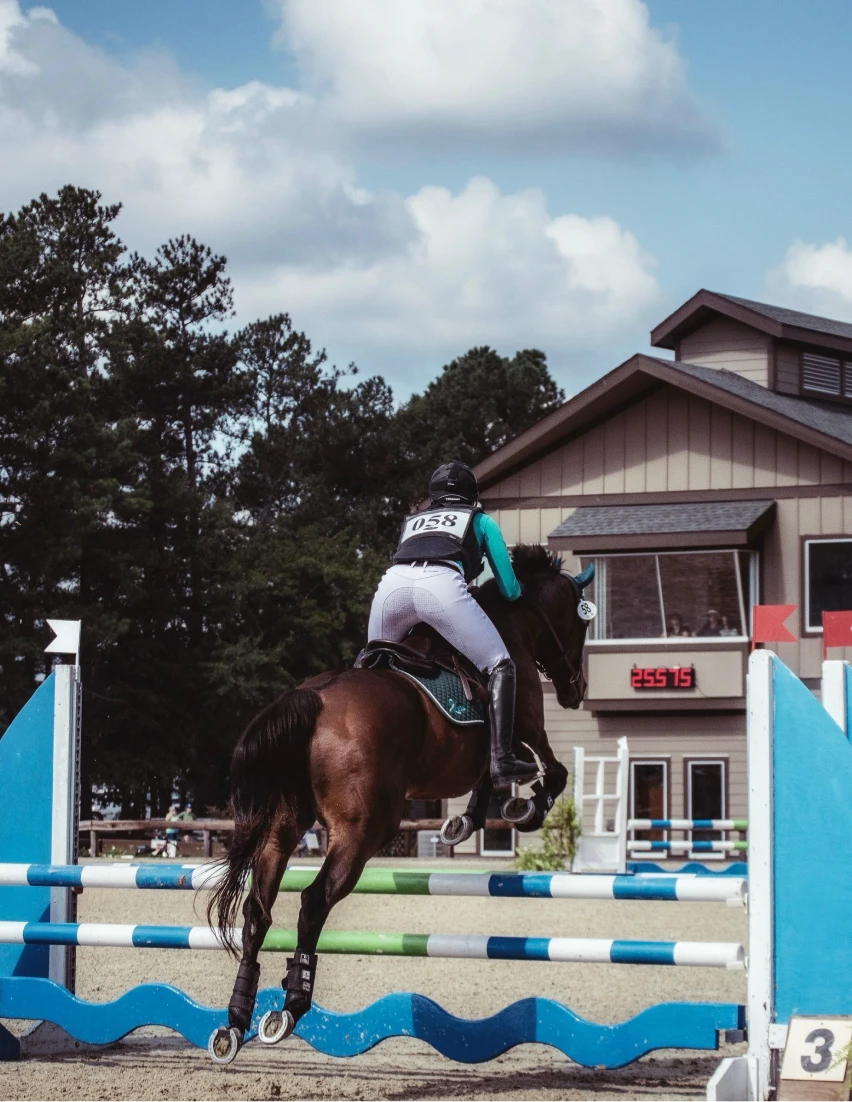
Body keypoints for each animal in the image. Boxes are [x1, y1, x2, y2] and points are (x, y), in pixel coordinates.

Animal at [207, 545, 594, 1063]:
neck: (513, 622)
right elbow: (550, 771)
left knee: (257, 910)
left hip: (284, 825)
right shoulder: (527, 722)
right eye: (581, 625)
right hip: (364, 829)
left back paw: (236, 1018)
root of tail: (315, 698)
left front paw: (464, 823)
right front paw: (527, 809)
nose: (576, 691)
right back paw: (291, 1005)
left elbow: (489, 779)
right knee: (313, 901)